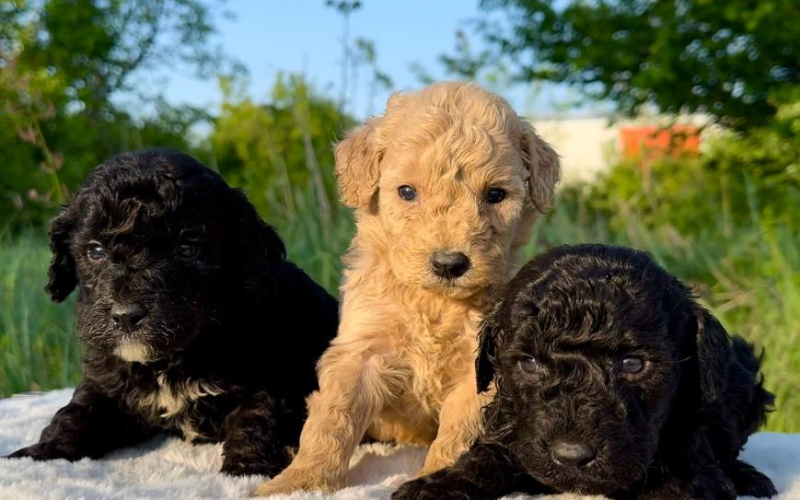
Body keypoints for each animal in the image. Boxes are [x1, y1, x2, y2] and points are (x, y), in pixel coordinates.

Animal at [3, 148, 336, 476]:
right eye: (95, 251)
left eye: (186, 249)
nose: (126, 315)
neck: (173, 359)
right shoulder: (106, 380)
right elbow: (77, 413)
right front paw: (37, 453)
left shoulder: (270, 378)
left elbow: (257, 415)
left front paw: (248, 466)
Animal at [394, 245, 776, 500]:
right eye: (529, 364)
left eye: (632, 364)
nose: (571, 456)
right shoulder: (512, 427)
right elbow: (485, 454)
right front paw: (439, 485)